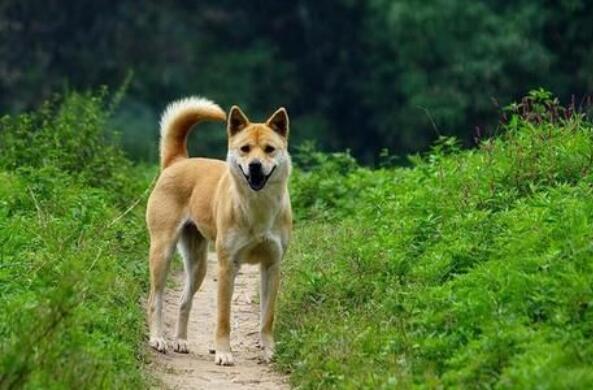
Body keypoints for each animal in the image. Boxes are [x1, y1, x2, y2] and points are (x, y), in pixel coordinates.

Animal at [147, 97, 292, 366]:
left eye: (269, 149)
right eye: (245, 148)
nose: (255, 166)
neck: (257, 207)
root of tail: (179, 161)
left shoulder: (272, 266)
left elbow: (267, 317)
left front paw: (268, 351)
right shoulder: (227, 266)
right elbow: (223, 318)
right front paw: (224, 352)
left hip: (198, 265)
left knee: (184, 301)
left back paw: (180, 341)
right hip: (162, 252)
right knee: (155, 299)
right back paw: (157, 339)